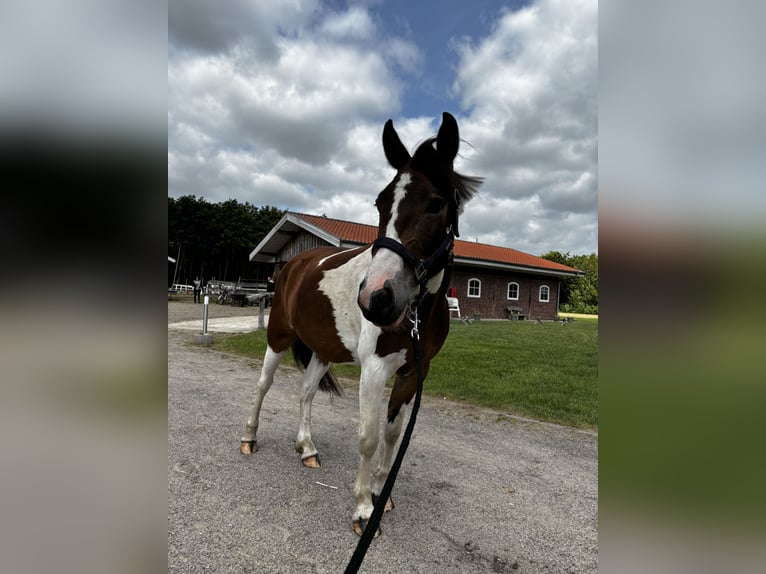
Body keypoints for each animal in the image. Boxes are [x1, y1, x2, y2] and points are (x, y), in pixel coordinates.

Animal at [240, 112, 482, 536]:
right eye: (381, 202)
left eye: (436, 203)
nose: (376, 298)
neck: (416, 314)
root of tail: (293, 265)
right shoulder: (374, 369)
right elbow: (368, 437)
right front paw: (364, 508)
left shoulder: (414, 370)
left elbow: (392, 433)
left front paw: (382, 493)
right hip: (278, 337)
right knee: (263, 385)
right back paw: (250, 438)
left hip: (321, 350)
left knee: (305, 394)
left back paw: (307, 448)